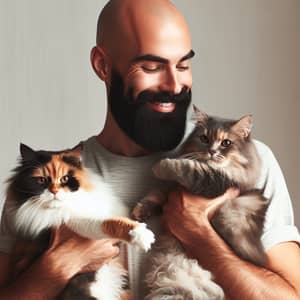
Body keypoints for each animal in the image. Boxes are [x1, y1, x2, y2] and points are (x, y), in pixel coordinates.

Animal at [4, 144, 155, 300]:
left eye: (65, 179)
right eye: (41, 180)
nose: (54, 191)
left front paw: (143, 211)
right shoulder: (77, 222)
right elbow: (108, 223)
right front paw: (140, 235)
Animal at [134, 106, 270, 300]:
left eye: (226, 143)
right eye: (204, 139)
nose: (212, 151)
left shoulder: (215, 182)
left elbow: (186, 167)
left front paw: (160, 166)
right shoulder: (170, 190)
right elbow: (156, 195)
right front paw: (140, 211)